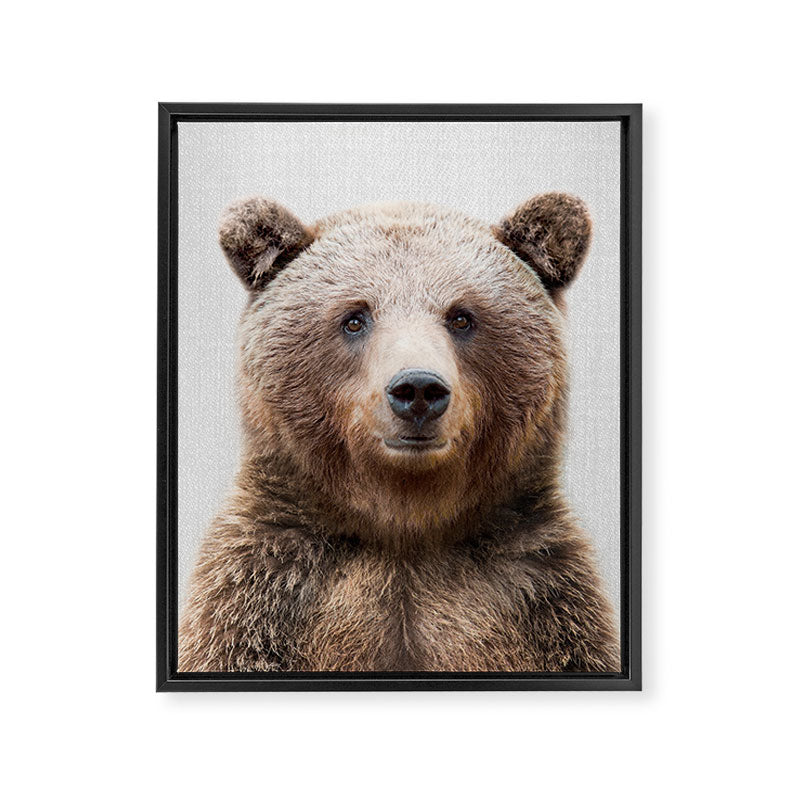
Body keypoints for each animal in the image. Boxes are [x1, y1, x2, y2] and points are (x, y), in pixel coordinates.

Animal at [178, 193, 620, 673]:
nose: (418, 389)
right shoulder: (262, 596)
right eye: (355, 318)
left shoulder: (543, 602)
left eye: (461, 317)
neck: (405, 526)